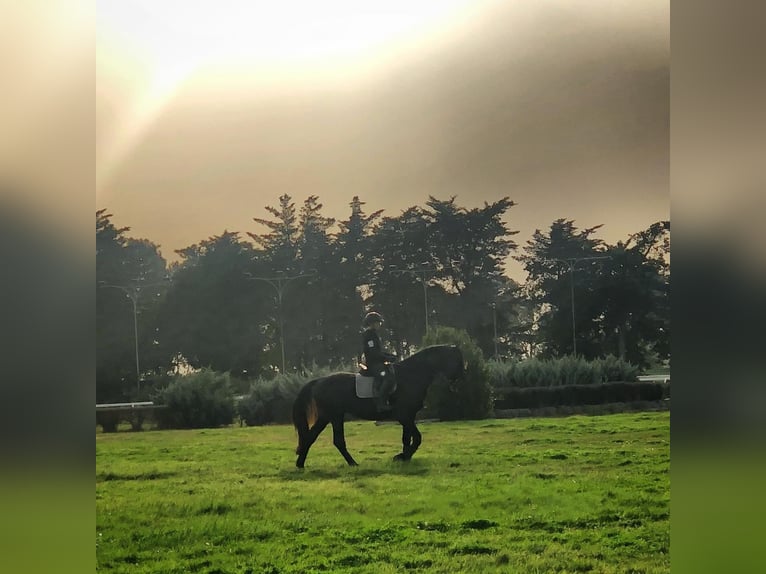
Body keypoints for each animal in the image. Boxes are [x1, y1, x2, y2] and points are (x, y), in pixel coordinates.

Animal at [292, 344, 462, 470]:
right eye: (456, 359)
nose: (456, 383)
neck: (411, 375)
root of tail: (319, 381)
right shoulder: (404, 416)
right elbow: (418, 438)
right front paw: (402, 457)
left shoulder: (408, 417)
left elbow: (407, 439)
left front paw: (403, 457)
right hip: (331, 416)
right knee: (326, 439)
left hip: (330, 417)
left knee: (321, 438)